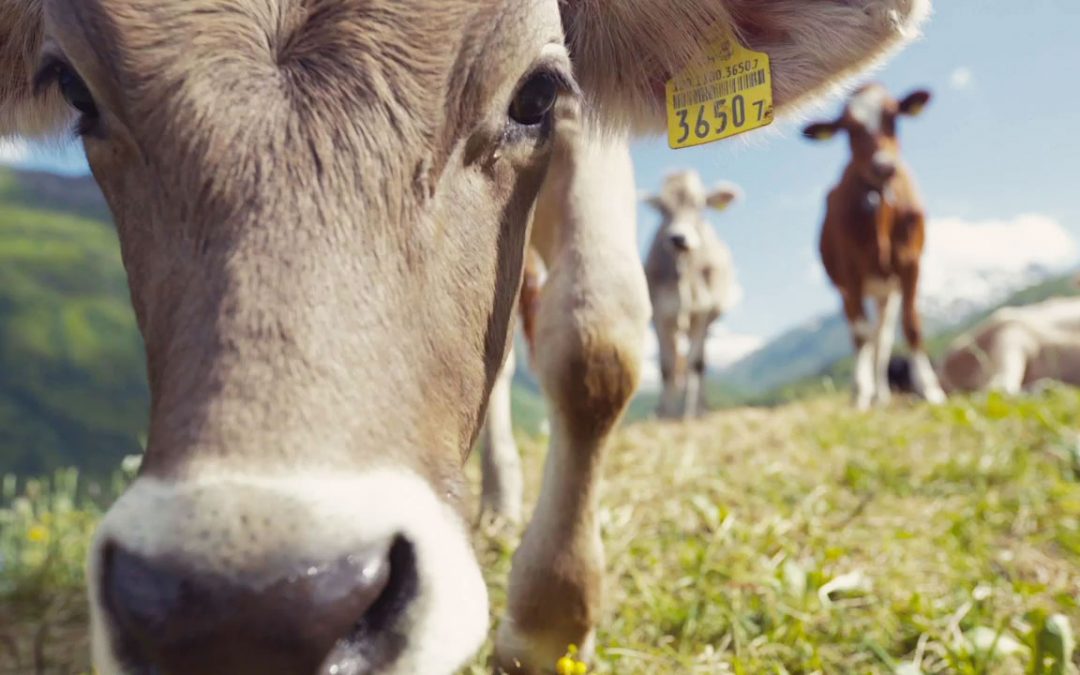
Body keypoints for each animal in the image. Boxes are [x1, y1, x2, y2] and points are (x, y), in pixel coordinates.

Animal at [639, 170, 743, 419]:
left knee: (700, 363)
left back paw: (701, 408)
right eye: (663, 209)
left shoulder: (701, 311)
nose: (678, 238)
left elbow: (694, 364)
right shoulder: (661, 314)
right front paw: (666, 415)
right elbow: (666, 367)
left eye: (699, 205)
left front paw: (689, 414)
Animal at [803, 84, 946, 410]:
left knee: (882, 339)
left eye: (893, 117)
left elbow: (911, 325)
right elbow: (860, 335)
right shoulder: (850, 274)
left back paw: (881, 393)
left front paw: (931, 389)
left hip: (886, 292)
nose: (883, 166)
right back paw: (865, 390)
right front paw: (860, 394)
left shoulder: (910, 264)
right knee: (864, 336)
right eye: (849, 130)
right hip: (848, 290)